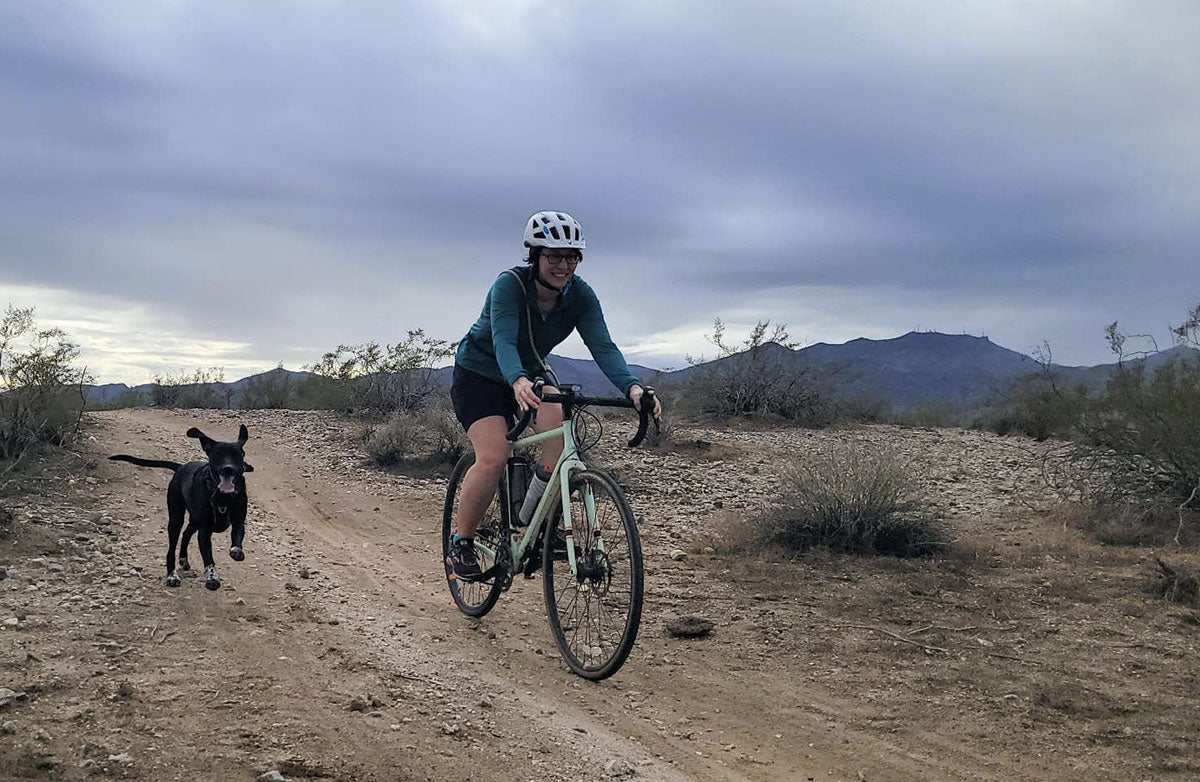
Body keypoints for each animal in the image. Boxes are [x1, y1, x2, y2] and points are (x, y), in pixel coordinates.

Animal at [111, 424, 254, 590]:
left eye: (237, 455)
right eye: (217, 455)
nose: (228, 468)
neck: (222, 495)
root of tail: (180, 467)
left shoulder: (238, 521)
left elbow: (237, 538)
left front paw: (236, 551)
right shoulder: (204, 531)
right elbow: (208, 558)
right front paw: (212, 578)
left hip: (193, 520)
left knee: (186, 534)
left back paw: (184, 559)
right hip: (176, 519)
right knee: (172, 548)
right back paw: (172, 575)